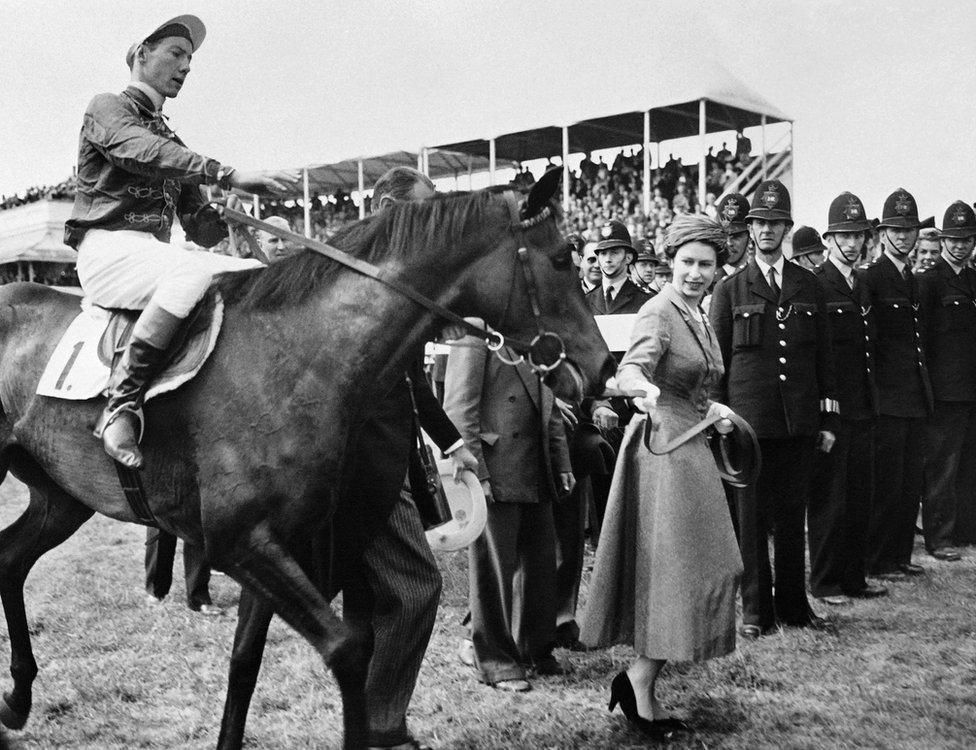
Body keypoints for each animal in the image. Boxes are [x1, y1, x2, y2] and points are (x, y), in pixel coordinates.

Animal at [0, 179, 612, 748]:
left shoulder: (280, 543)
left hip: (61, 495)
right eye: (564, 257)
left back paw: (17, 699)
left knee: (11, 558)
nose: (604, 367)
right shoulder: (241, 542)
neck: (297, 354)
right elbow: (347, 647)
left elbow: (246, 663)